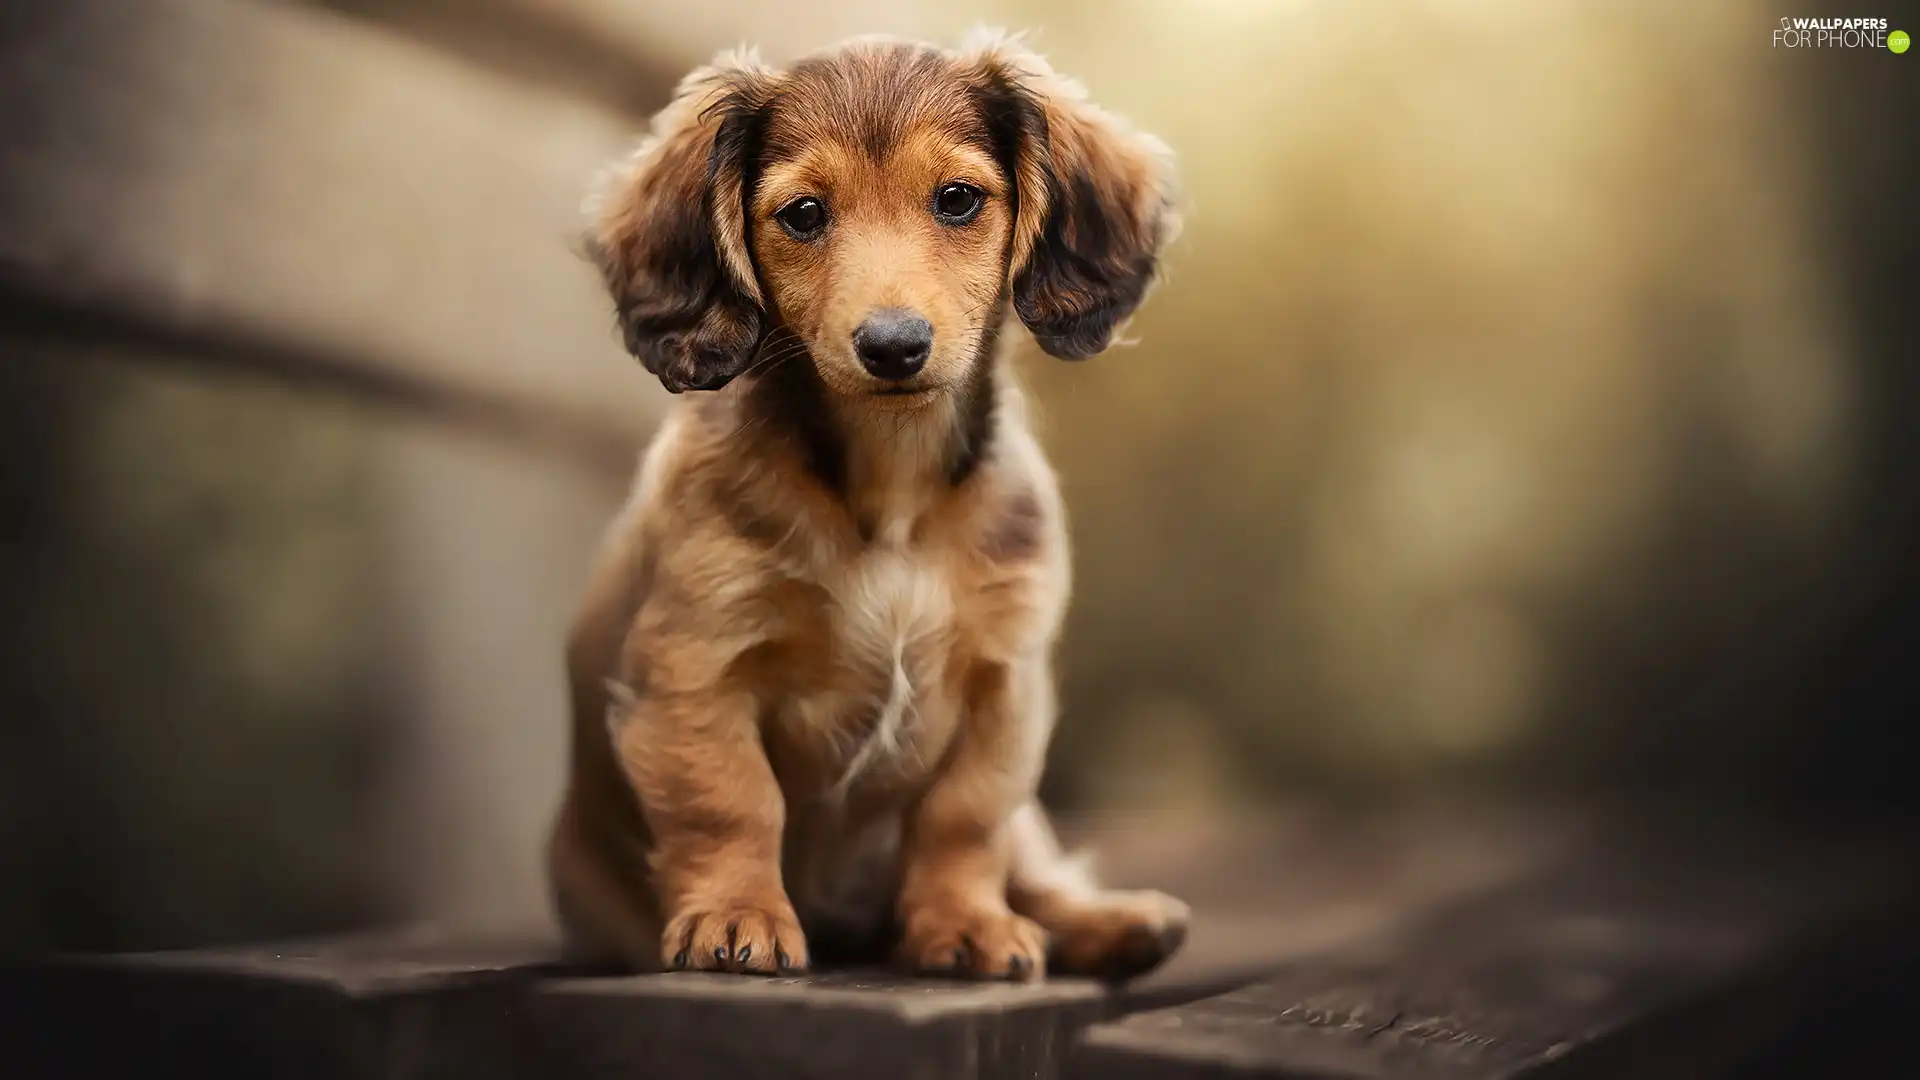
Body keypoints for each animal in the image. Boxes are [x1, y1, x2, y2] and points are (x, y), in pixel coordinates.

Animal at [541, 31, 1190, 976]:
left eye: (957, 199)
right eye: (804, 214)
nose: (893, 346)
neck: (892, 481)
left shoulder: (1004, 686)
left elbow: (964, 820)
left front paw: (964, 922)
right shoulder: (694, 669)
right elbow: (730, 801)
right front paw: (734, 915)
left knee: (1034, 868)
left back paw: (1110, 922)